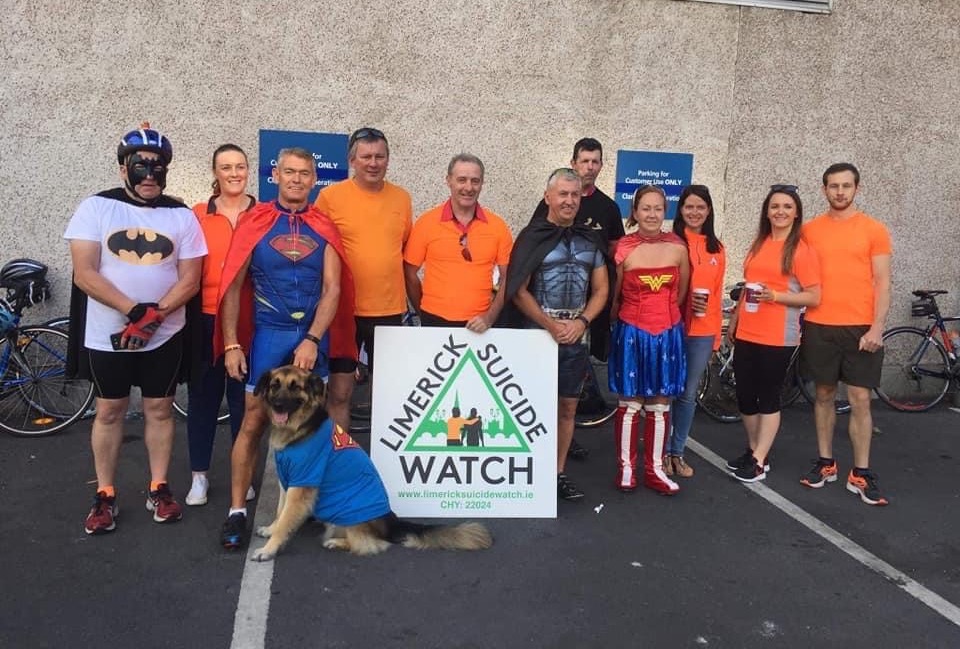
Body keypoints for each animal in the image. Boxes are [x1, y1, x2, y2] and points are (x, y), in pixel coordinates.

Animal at [251, 364, 492, 560]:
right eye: (274, 385)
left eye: (295, 387)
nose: (278, 405)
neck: (300, 427)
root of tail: (391, 521)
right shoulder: (288, 480)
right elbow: (280, 512)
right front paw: (270, 530)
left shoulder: (302, 484)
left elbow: (285, 521)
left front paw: (269, 549)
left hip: (349, 512)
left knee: (371, 544)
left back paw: (337, 542)